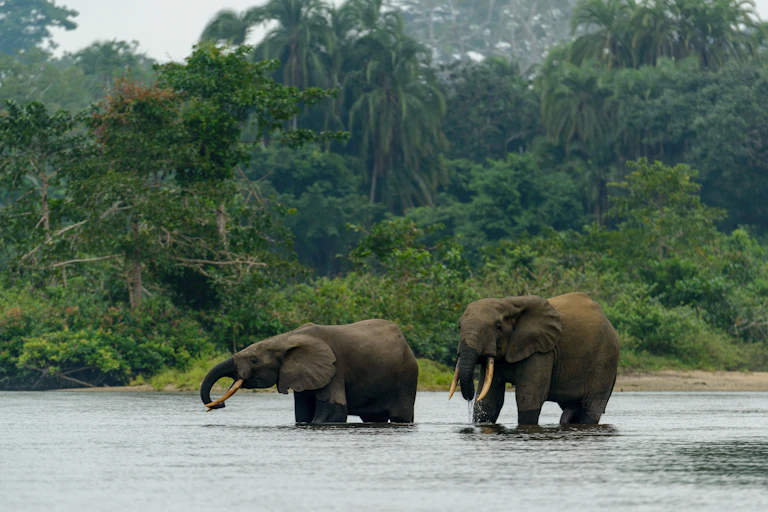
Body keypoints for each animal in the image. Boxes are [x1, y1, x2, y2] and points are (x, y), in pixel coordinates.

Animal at [200, 319, 418, 424]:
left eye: (254, 361)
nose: (220, 405)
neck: (285, 339)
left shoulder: (334, 368)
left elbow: (333, 413)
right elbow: (303, 414)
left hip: (406, 377)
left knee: (400, 417)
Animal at [449, 292, 619, 425]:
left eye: (498, 327)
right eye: (459, 327)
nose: (470, 397)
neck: (508, 303)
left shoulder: (541, 351)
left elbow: (529, 397)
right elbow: (489, 401)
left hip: (605, 359)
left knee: (591, 407)